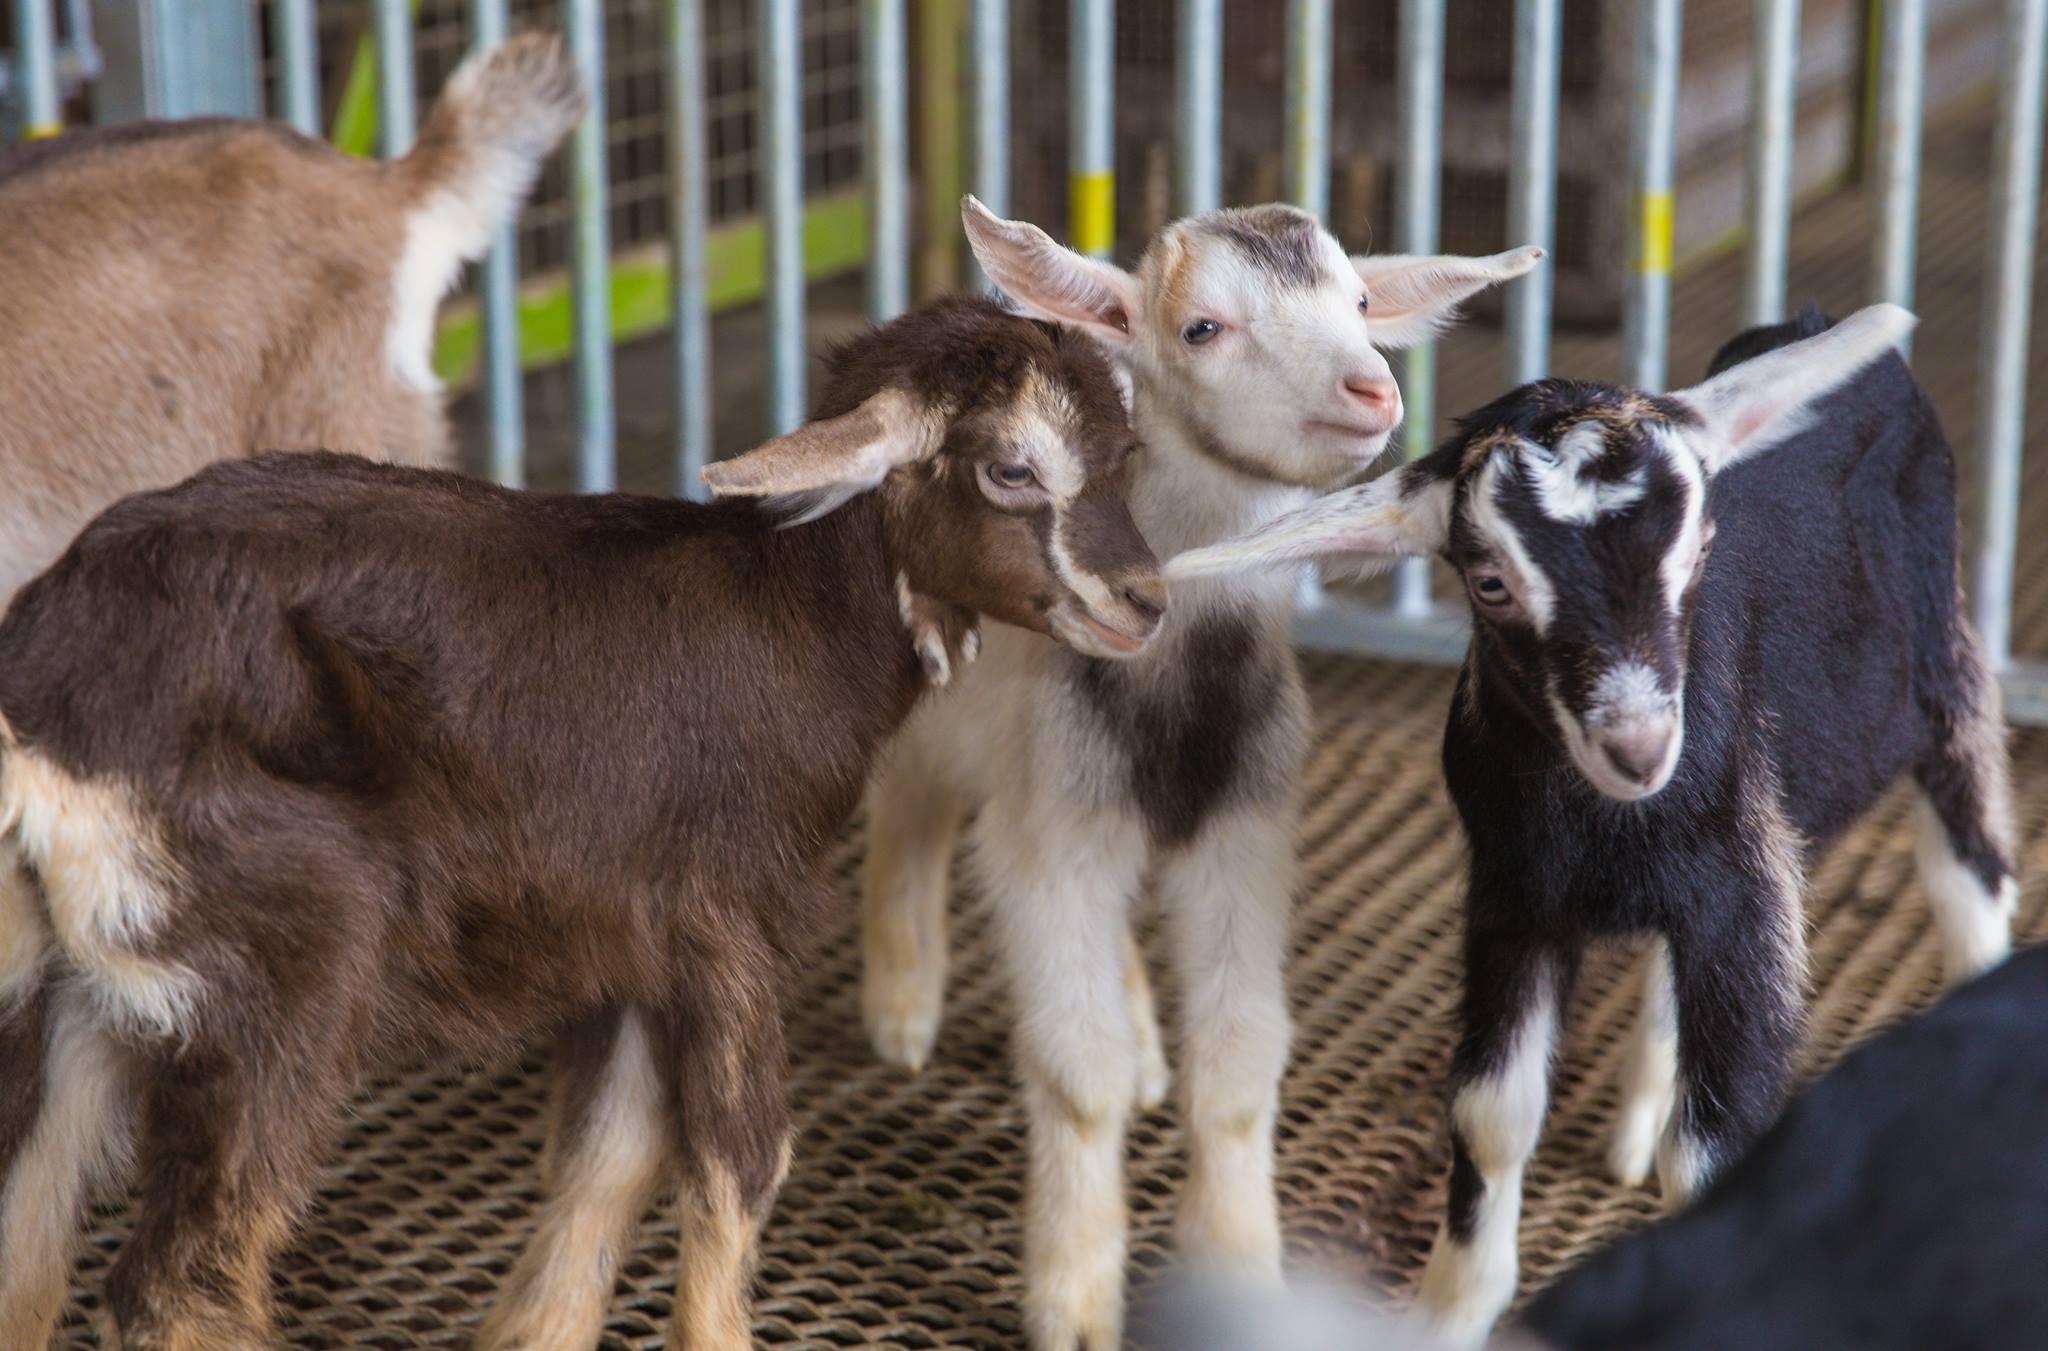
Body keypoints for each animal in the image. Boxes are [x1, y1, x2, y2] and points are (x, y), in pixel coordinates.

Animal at [0, 295, 1164, 1350]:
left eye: (1127, 452)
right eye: (1010, 468)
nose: (1143, 601)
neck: (797, 618)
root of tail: (48, 711)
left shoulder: (627, 946)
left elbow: (610, 1154)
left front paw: (533, 1327)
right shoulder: (725, 918)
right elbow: (738, 1161)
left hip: (81, 985)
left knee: (29, 1230)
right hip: (286, 960)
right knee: (174, 1284)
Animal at [858, 195, 1540, 1350]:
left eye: (1364, 299)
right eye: (1202, 328)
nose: (1372, 388)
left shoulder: (1239, 831)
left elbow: (1237, 1065)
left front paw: (1236, 1267)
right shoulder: (1054, 828)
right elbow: (1073, 1071)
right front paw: (1074, 1296)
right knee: (907, 804)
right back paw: (902, 1003)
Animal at [1165, 303, 2016, 1347]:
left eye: (1699, 548)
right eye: (1489, 582)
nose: (1640, 748)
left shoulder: (1742, 891)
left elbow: (1715, 1149)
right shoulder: (1514, 892)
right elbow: (1491, 1107)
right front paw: (1452, 1305)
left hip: (1944, 663)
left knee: (1969, 867)